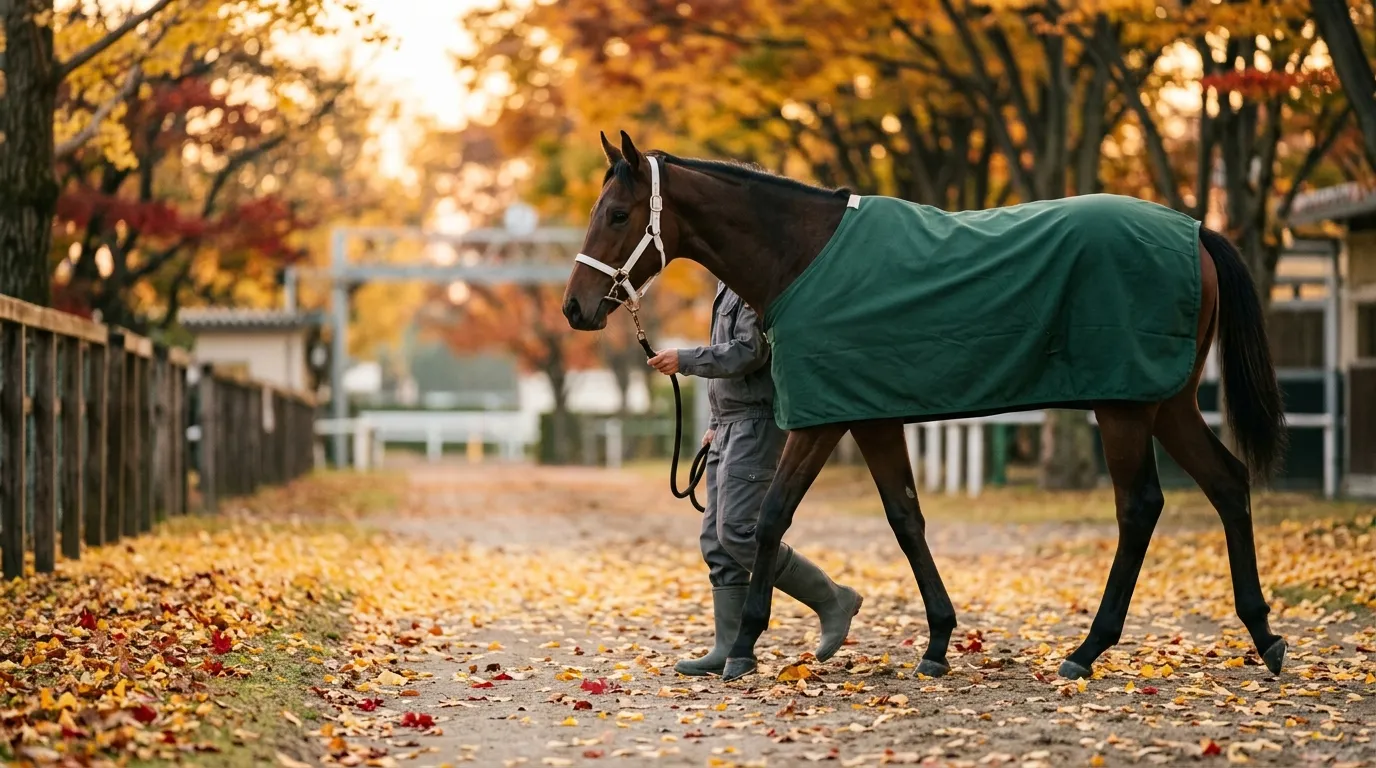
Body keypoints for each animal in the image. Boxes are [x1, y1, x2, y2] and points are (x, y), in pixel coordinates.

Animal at [562, 131, 1288, 683]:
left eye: (618, 215)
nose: (574, 307)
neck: (805, 256)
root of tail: (1196, 233)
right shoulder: (871, 418)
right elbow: (905, 518)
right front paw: (938, 643)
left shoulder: (828, 420)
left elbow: (771, 518)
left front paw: (743, 647)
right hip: (1167, 402)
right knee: (1227, 483)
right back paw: (1264, 635)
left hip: (1125, 408)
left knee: (1139, 508)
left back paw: (1087, 651)